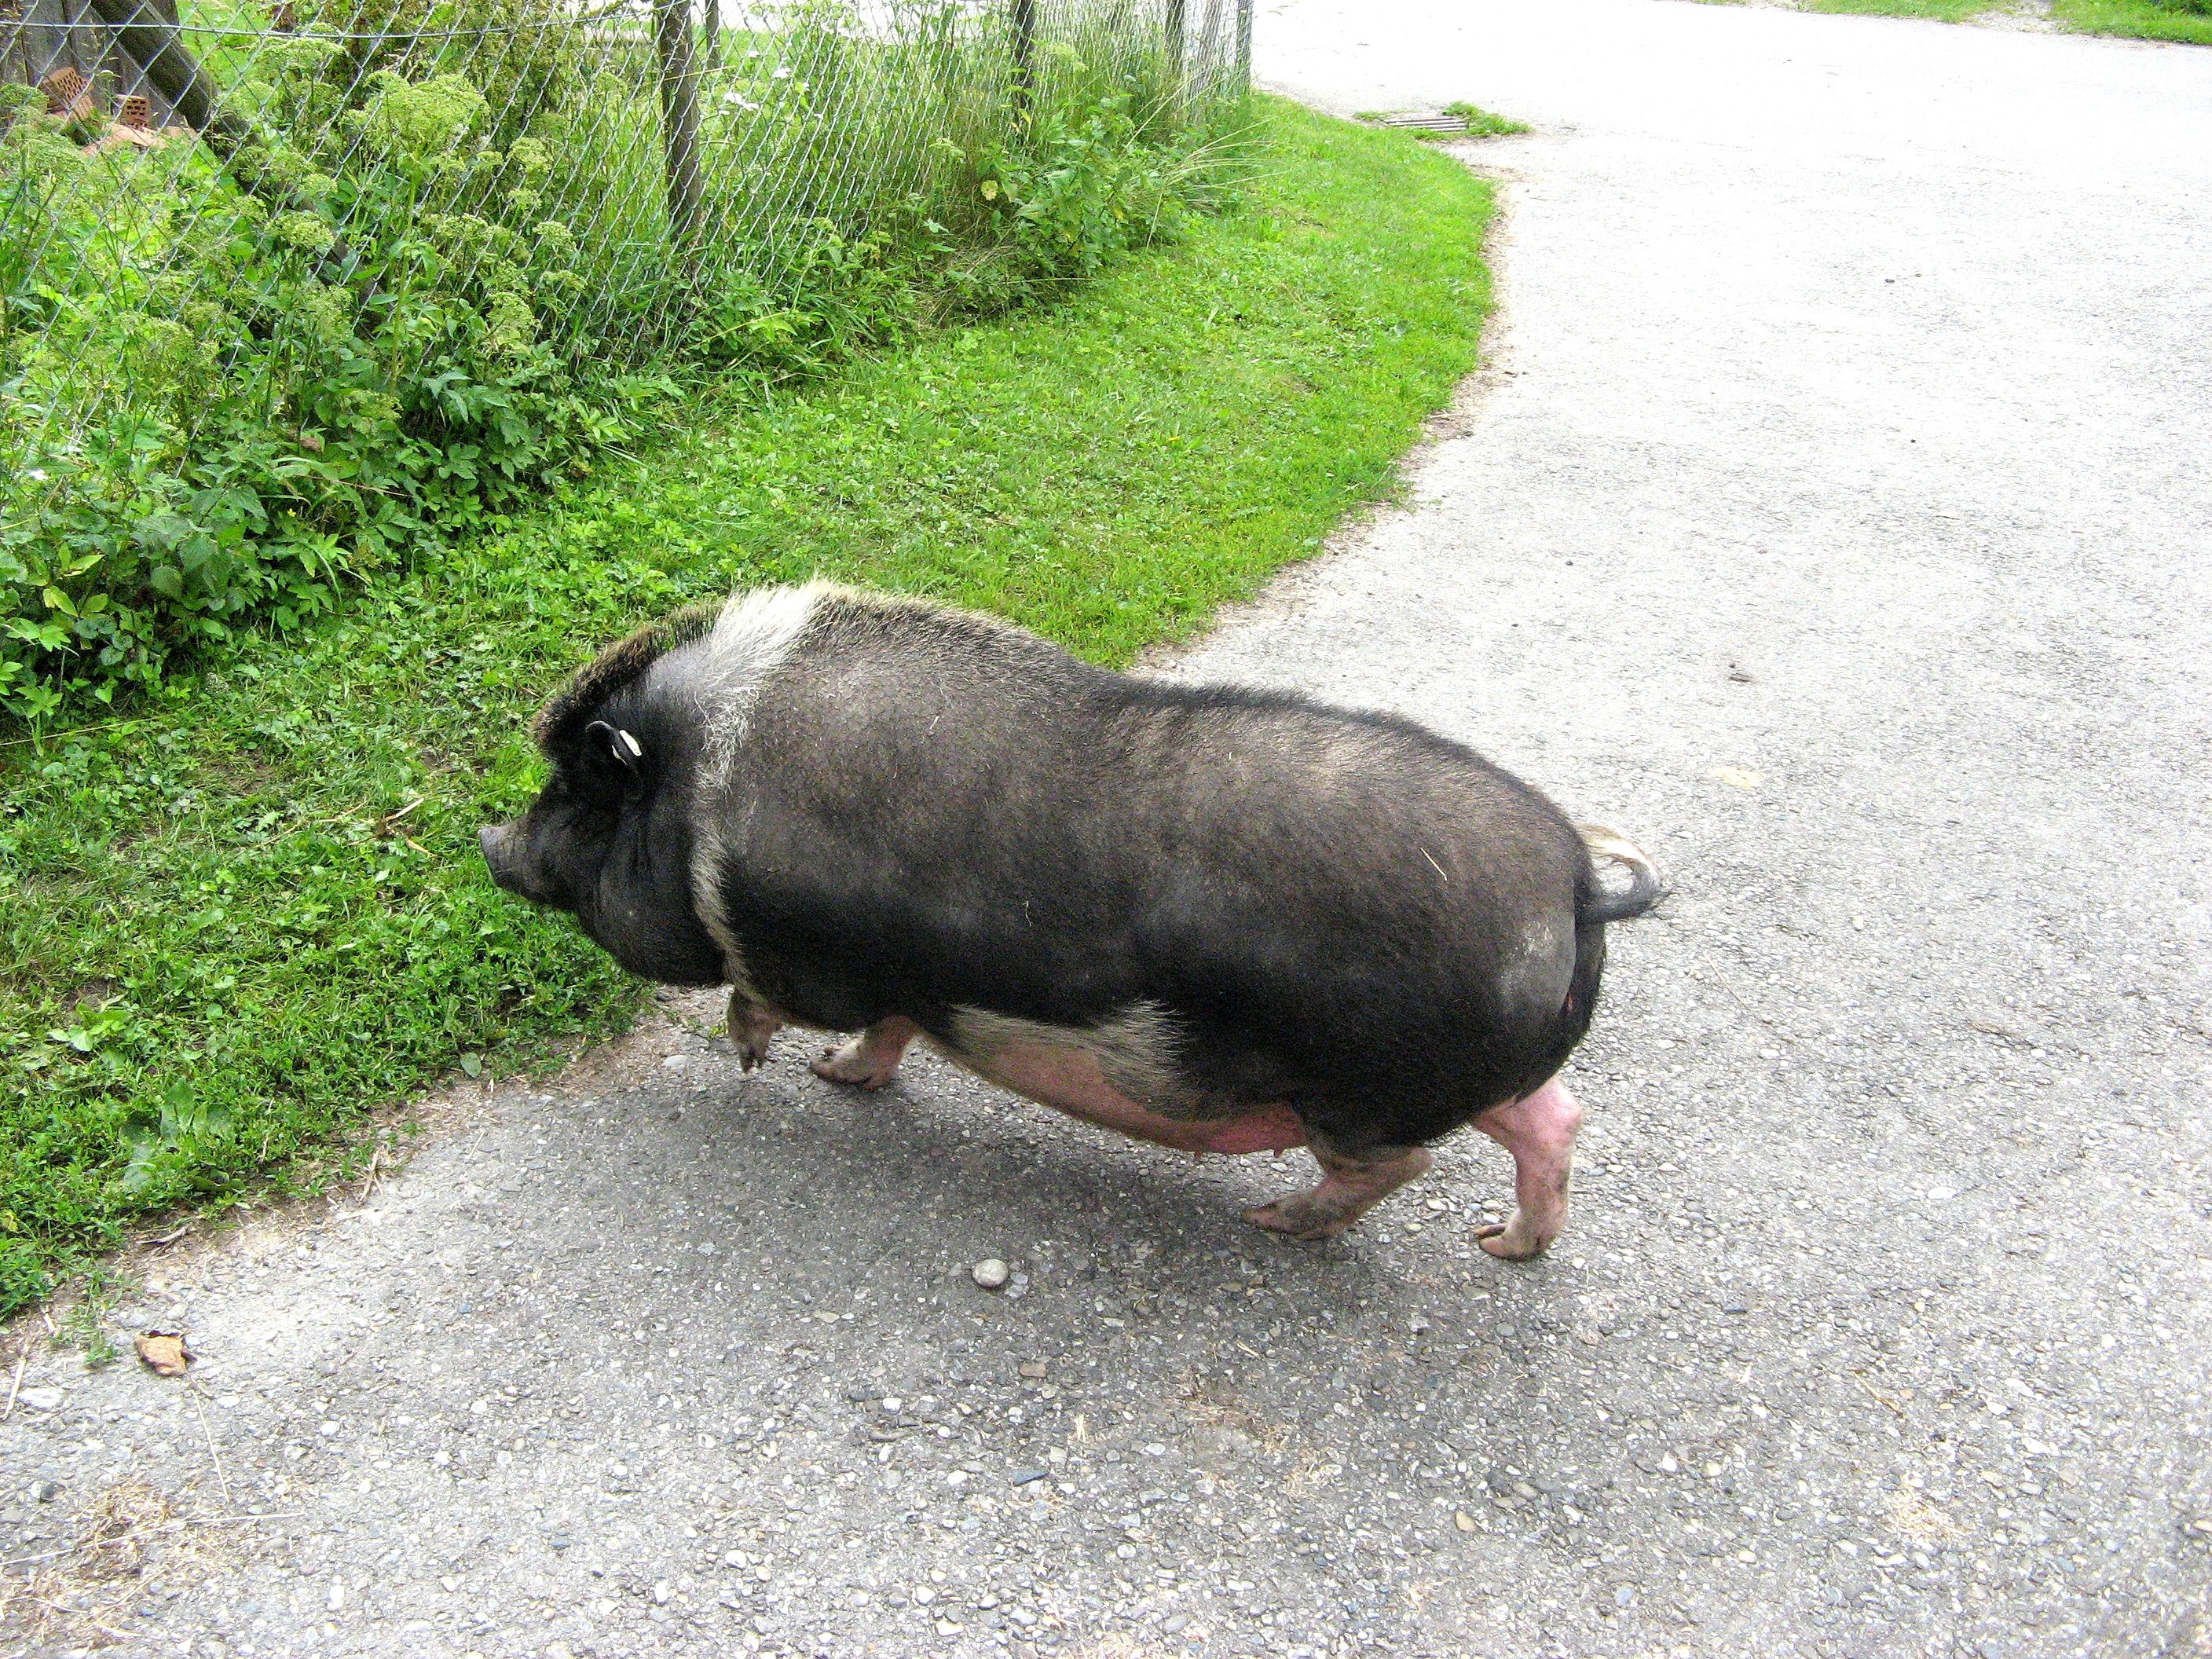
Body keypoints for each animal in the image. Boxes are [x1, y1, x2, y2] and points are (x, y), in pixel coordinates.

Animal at [479, 582, 1663, 1255]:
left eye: (581, 796)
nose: (490, 841)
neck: (704, 793)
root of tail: (1571, 882)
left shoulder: (799, 953)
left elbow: (762, 995)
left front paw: (758, 1063)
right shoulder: (909, 976)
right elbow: (890, 1033)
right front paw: (836, 1080)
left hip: (1361, 1094)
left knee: (1393, 1166)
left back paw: (1272, 1223)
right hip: (1466, 1080)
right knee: (1553, 1123)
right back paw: (1502, 1246)